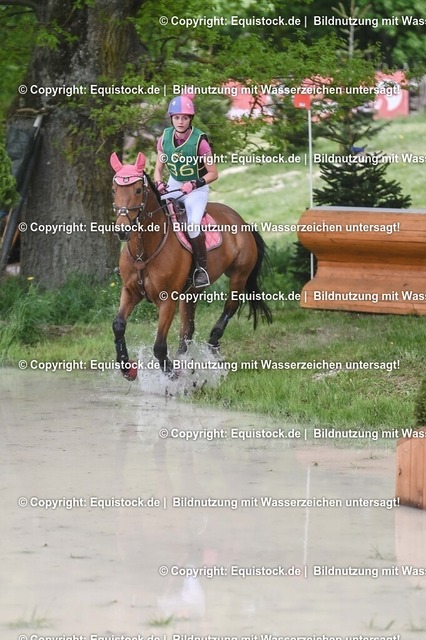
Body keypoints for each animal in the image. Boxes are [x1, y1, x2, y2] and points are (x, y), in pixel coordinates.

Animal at [110, 152, 272, 380]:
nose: (122, 230)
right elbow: (118, 325)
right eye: (114, 190)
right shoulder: (130, 291)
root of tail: (241, 221)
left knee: (230, 307)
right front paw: (127, 368)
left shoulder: (167, 300)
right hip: (191, 292)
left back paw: (212, 344)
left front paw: (172, 375)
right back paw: (185, 359)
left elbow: (159, 346)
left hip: (239, 275)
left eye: (138, 190)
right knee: (187, 329)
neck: (144, 250)